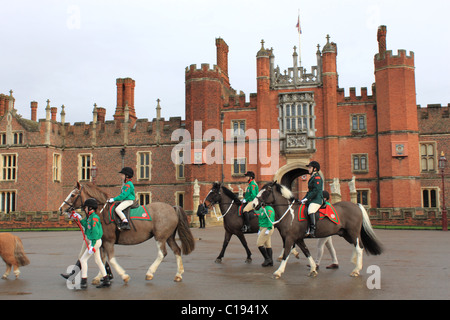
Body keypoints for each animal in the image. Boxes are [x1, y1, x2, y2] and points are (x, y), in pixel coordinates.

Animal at [58, 181, 195, 284]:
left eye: (72, 195)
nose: (61, 209)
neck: (102, 212)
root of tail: (172, 207)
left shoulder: (109, 242)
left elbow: (111, 259)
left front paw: (123, 276)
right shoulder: (102, 242)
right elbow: (102, 260)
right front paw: (100, 277)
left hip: (160, 237)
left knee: (162, 253)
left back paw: (150, 273)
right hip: (169, 237)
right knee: (177, 250)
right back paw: (178, 275)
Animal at [246, 181, 384, 278]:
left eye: (267, 190)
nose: (254, 204)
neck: (289, 213)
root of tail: (356, 205)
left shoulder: (290, 238)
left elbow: (286, 253)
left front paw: (278, 271)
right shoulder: (298, 239)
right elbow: (306, 252)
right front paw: (313, 269)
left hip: (353, 233)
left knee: (359, 248)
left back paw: (356, 270)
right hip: (346, 234)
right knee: (357, 247)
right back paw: (354, 264)